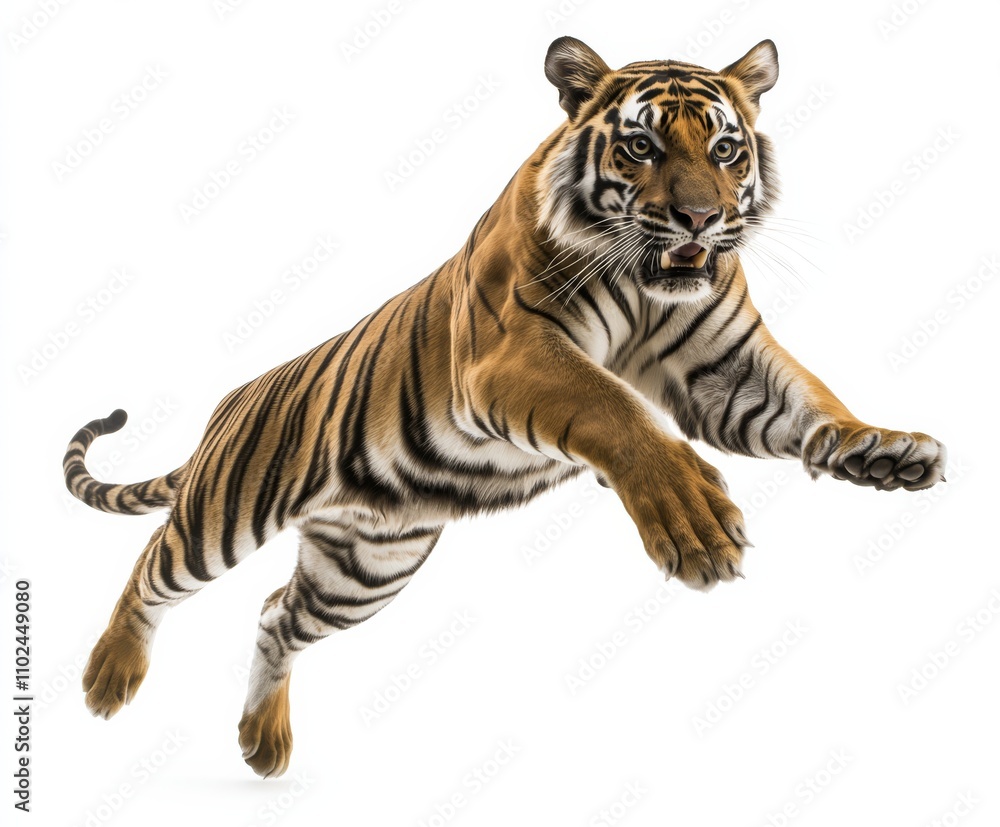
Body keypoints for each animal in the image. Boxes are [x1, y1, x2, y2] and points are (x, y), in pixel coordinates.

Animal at [64, 36, 946, 778]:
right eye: (643, 145)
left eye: (725, 149)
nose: (700, 217)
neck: (647, 285)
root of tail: (229, 400)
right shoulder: (512, 353)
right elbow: (614, 405)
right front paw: (691, 520)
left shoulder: (724, 371)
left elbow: (811, 398)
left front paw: (884, 447)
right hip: (226, 510)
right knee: (150, 570)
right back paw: (108, 678)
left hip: (367, 564)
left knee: (278, 613)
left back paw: (263, 741)